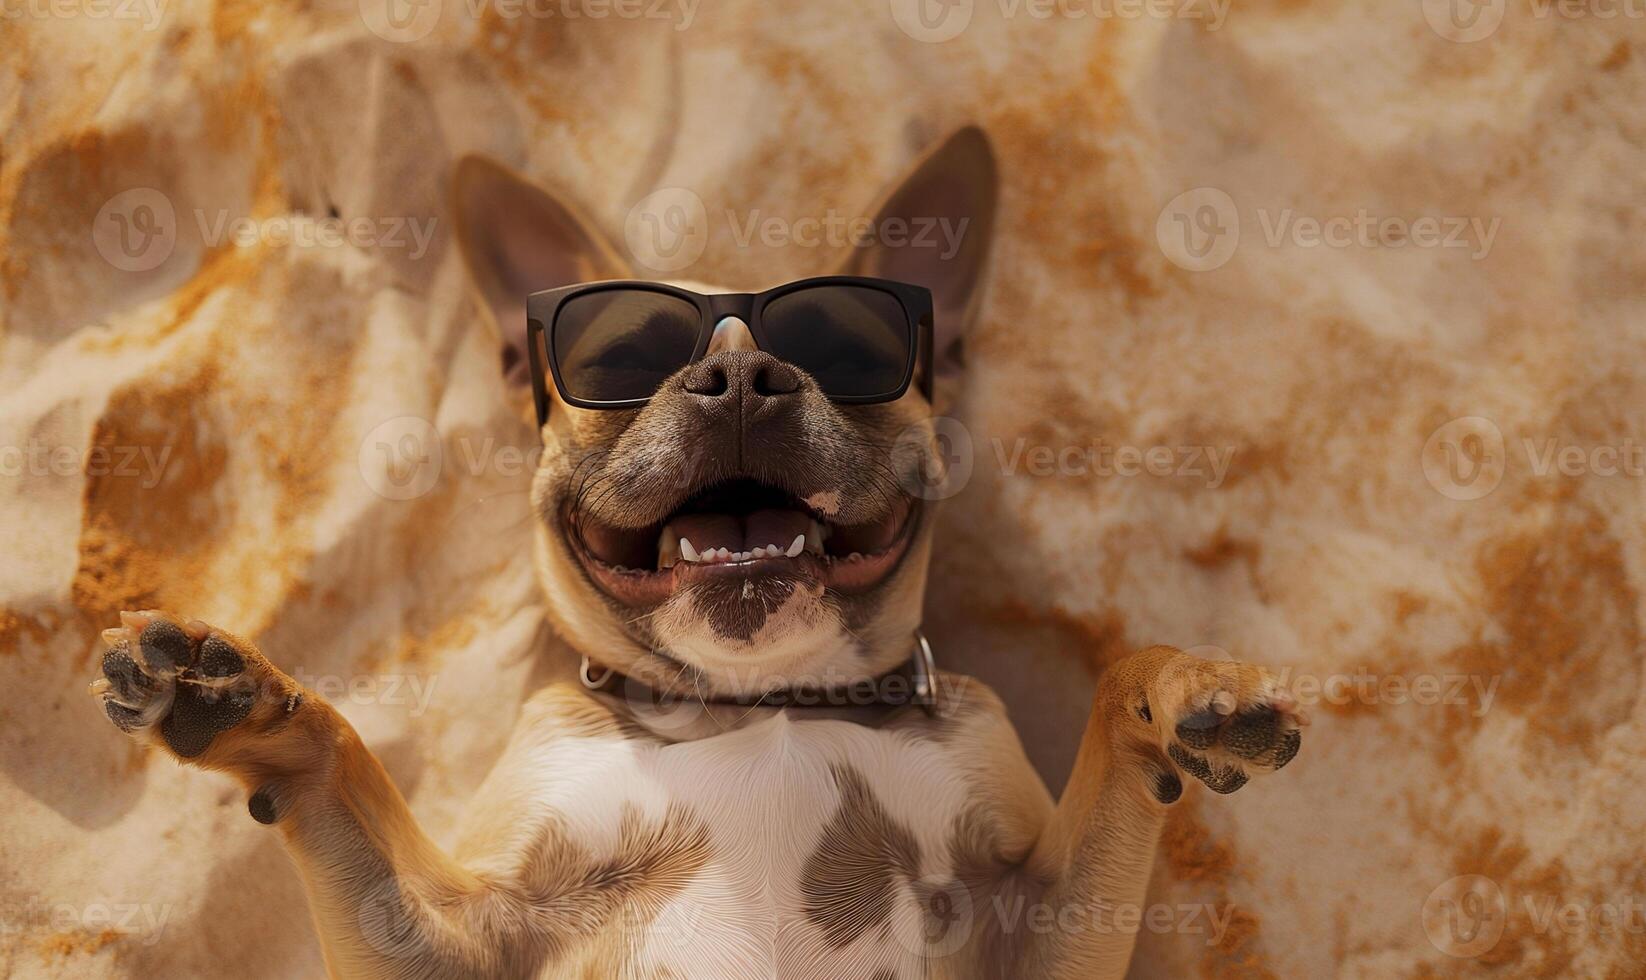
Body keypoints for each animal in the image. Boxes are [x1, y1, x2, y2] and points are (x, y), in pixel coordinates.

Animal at [90, 128, 1303, 980]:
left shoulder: (1038, 918)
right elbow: (342, 752)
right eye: (622, 358)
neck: (749, 701)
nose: (737, 378)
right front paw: (241, 697)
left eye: (847, 349)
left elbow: (1121, 683)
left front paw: (1186, 684)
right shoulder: (456, 934)